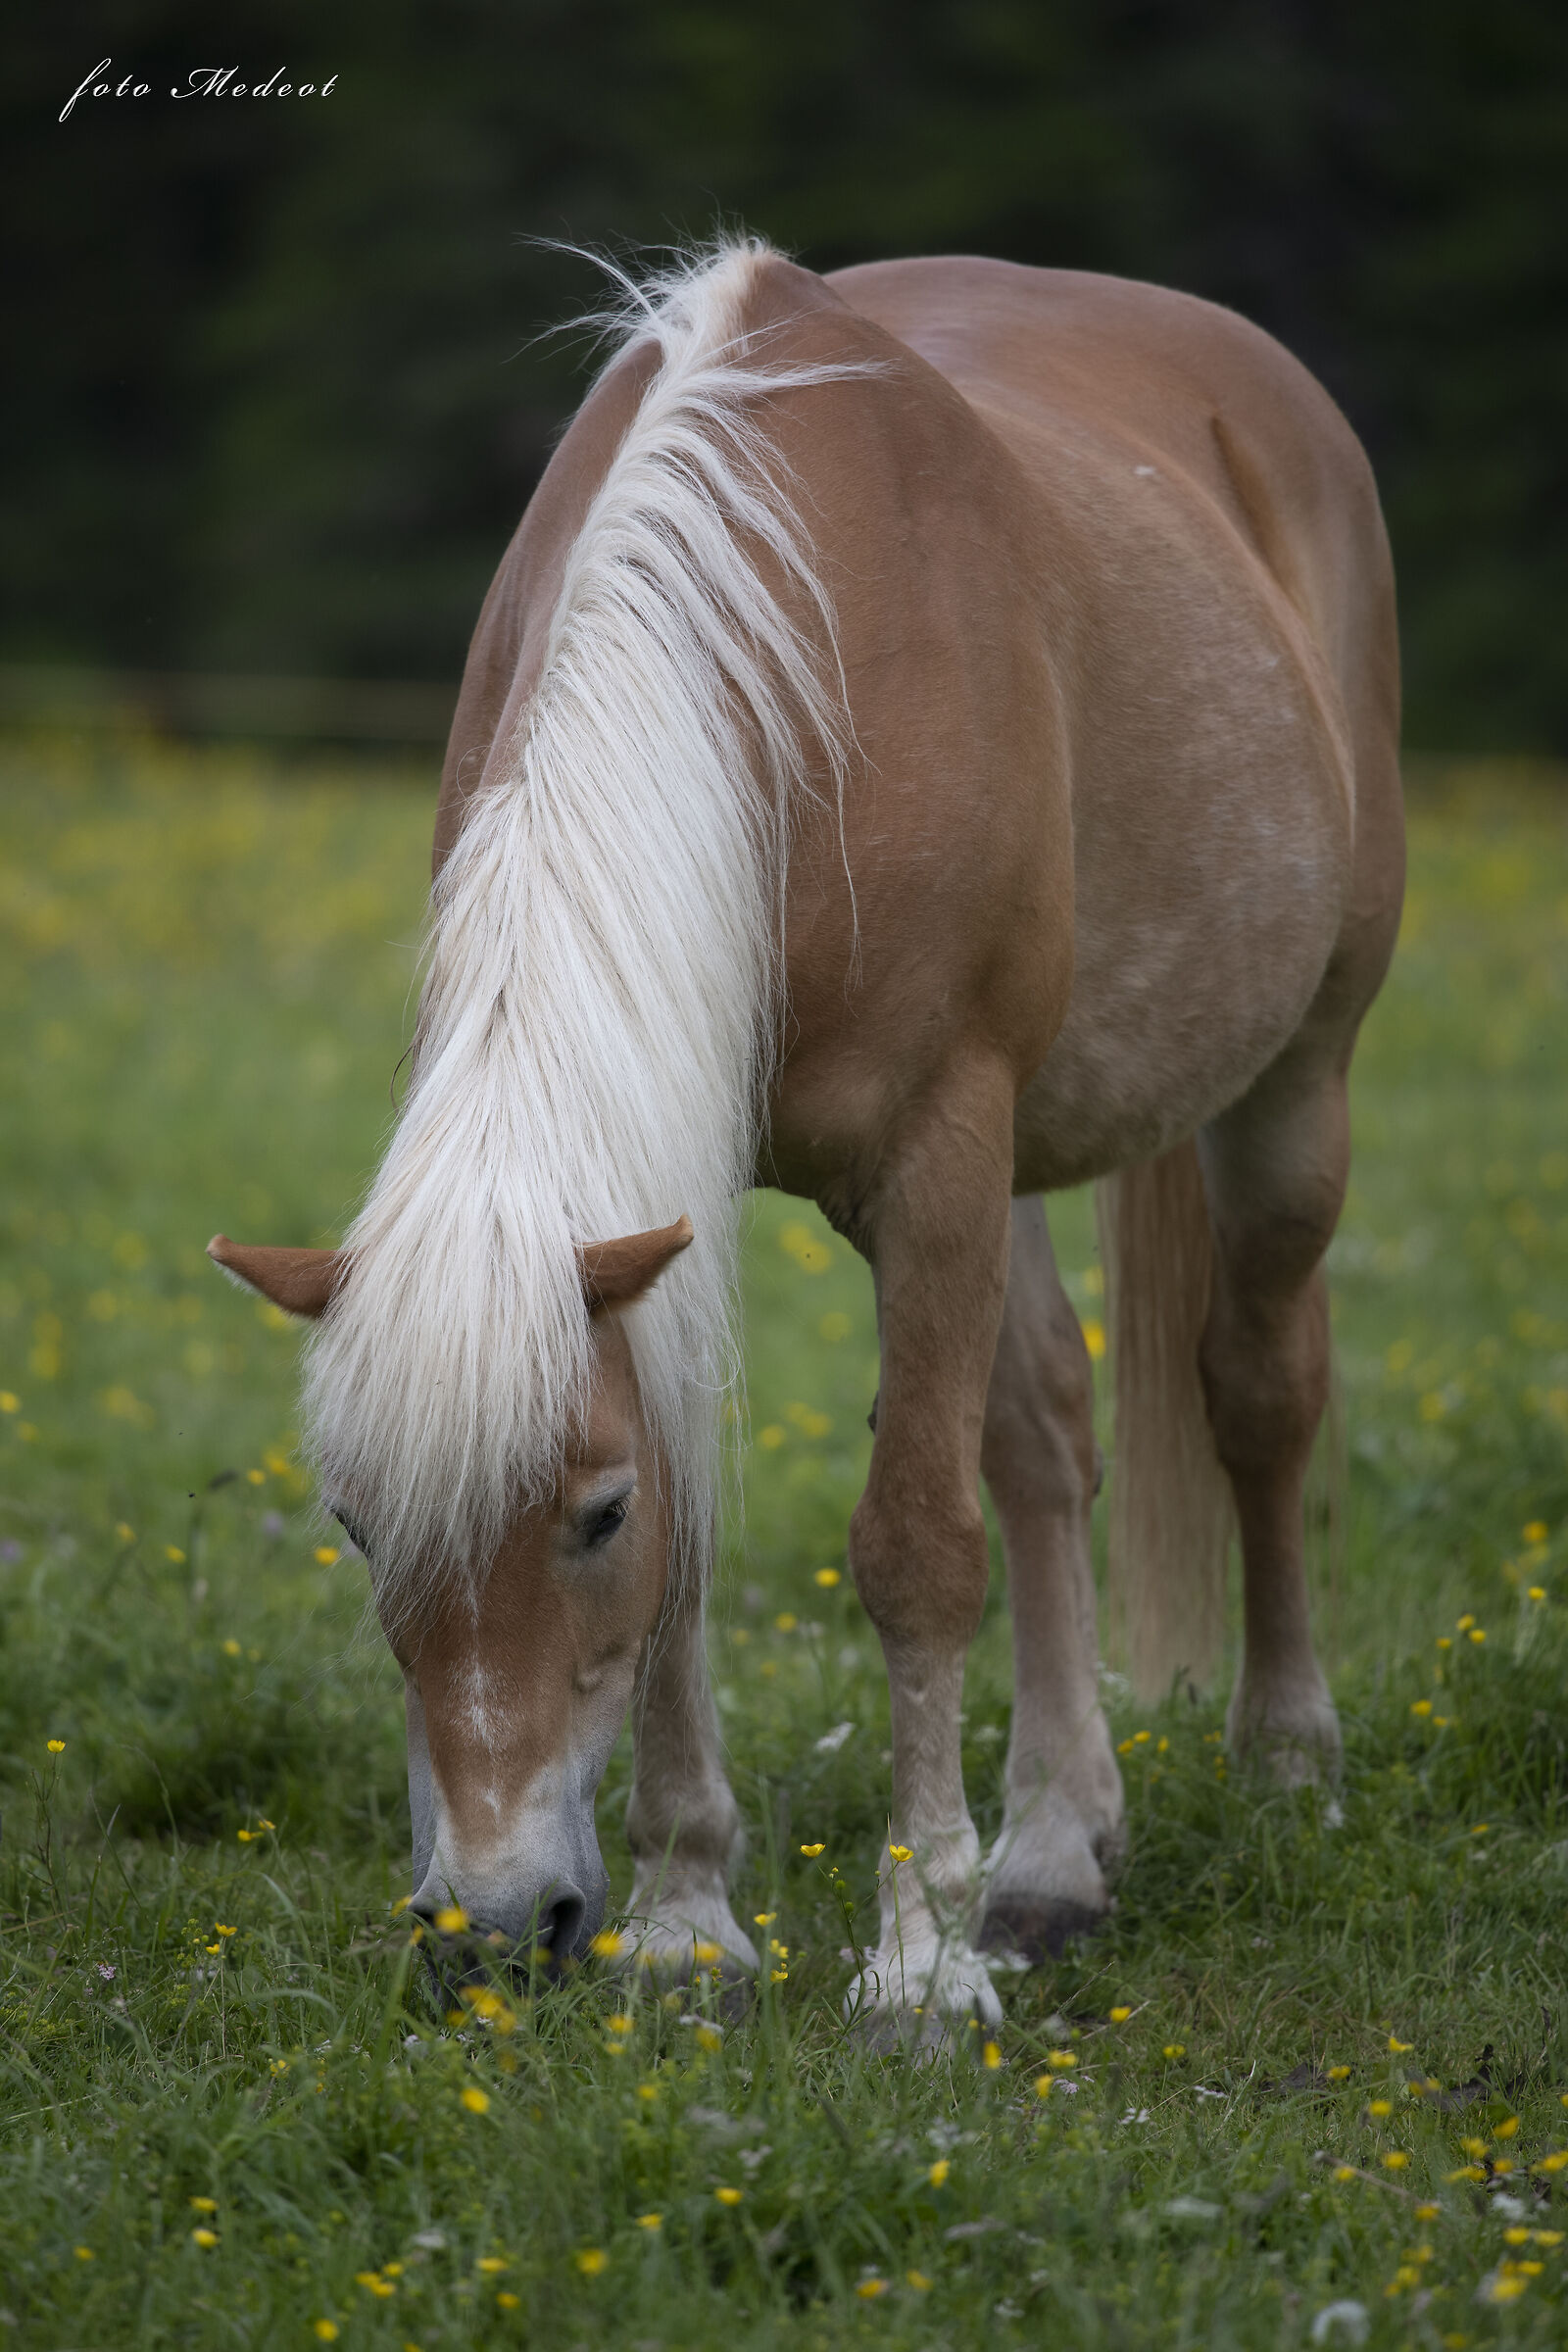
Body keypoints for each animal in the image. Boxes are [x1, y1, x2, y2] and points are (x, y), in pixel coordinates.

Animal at [208, 238, 1403, 2037]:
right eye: (356, 1525)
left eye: (594, 1515)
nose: (493, 1930)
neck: (797, 684)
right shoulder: (689, 1192)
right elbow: (723, 1562)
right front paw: (689, 1919)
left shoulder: (938, 1145)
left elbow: (915, 1545)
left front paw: (917, 1964)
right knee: (1043, 1437)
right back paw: (1053, 1852)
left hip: (1288, 1083)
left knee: (1260, 1394)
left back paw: (1283, 1762)